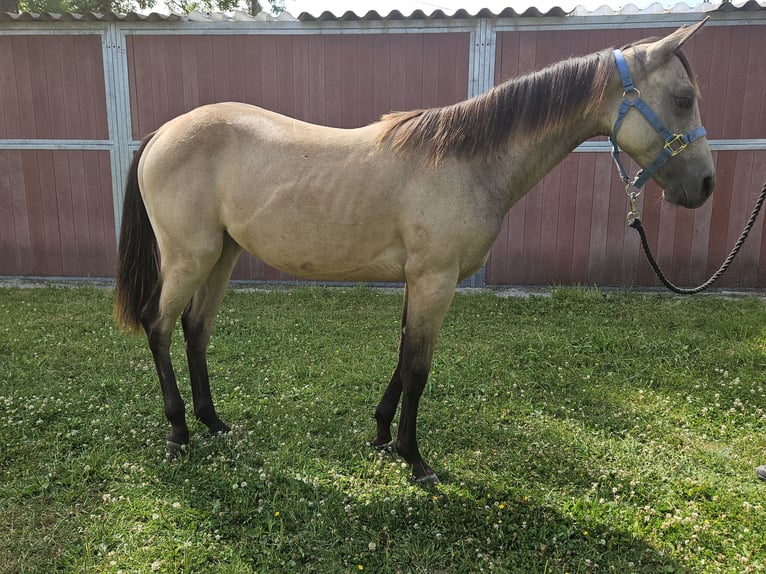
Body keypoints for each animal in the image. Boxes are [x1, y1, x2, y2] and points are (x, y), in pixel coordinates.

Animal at [115, 20, 714, 484]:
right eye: (683, 99)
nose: (705, 185)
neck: (467, 161)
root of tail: (162, 133)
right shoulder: (434, 279)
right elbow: (420, 367)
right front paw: (415, 459)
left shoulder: (419, 281)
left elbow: (403, 359)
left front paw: (382, 433)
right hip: (189, 258)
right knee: (159, 325)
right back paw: (178, 430)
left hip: (222, 256)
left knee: (196, 331)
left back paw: (213, 423)